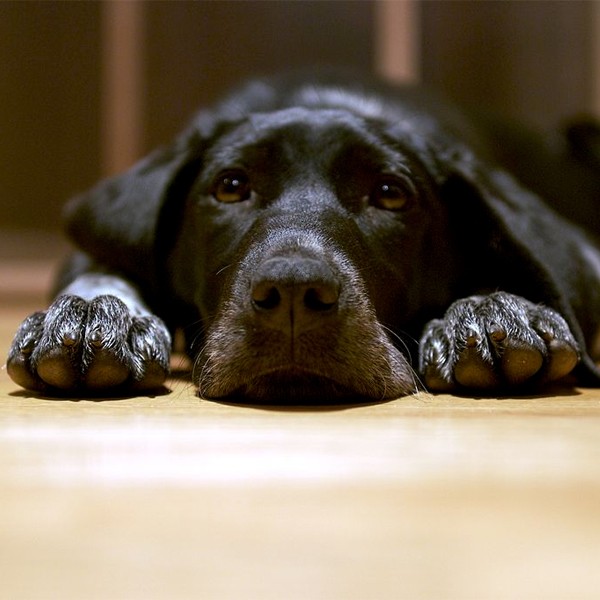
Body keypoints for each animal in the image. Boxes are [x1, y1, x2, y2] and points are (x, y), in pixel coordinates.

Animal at [4, 72, 600, 404]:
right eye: (231, 186)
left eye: (390, 194)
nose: (293, 293)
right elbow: (100, 271)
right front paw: (93, 317)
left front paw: (486, 309)